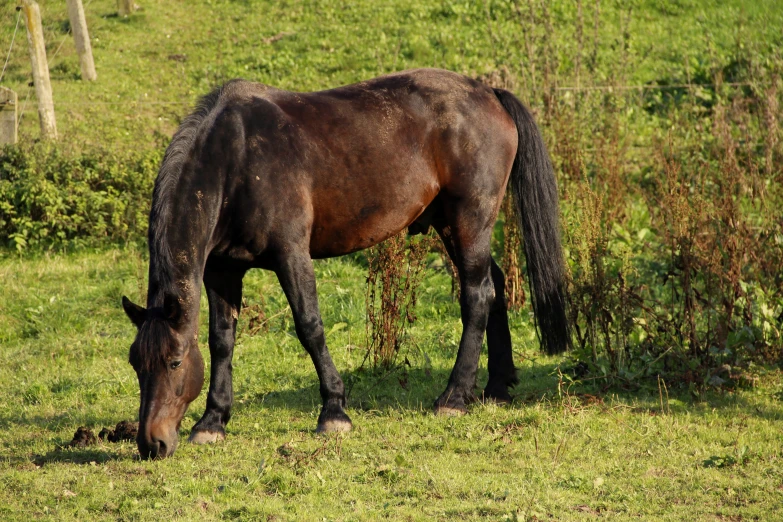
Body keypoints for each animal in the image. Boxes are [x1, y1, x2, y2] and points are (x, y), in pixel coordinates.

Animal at [125, 67, 572, 458]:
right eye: (135, 363)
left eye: (174, 361)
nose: (152, 444)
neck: (235, 158)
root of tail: (487, 92)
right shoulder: (222, 270)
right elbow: (222, 341)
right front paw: (213, 421)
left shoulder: (291, 255)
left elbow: (310, 327)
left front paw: (334, 411)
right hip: (451, 224)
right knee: (493, 285)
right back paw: (497, 387)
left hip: (469, 219)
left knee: (477, 296)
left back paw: (454, 397)